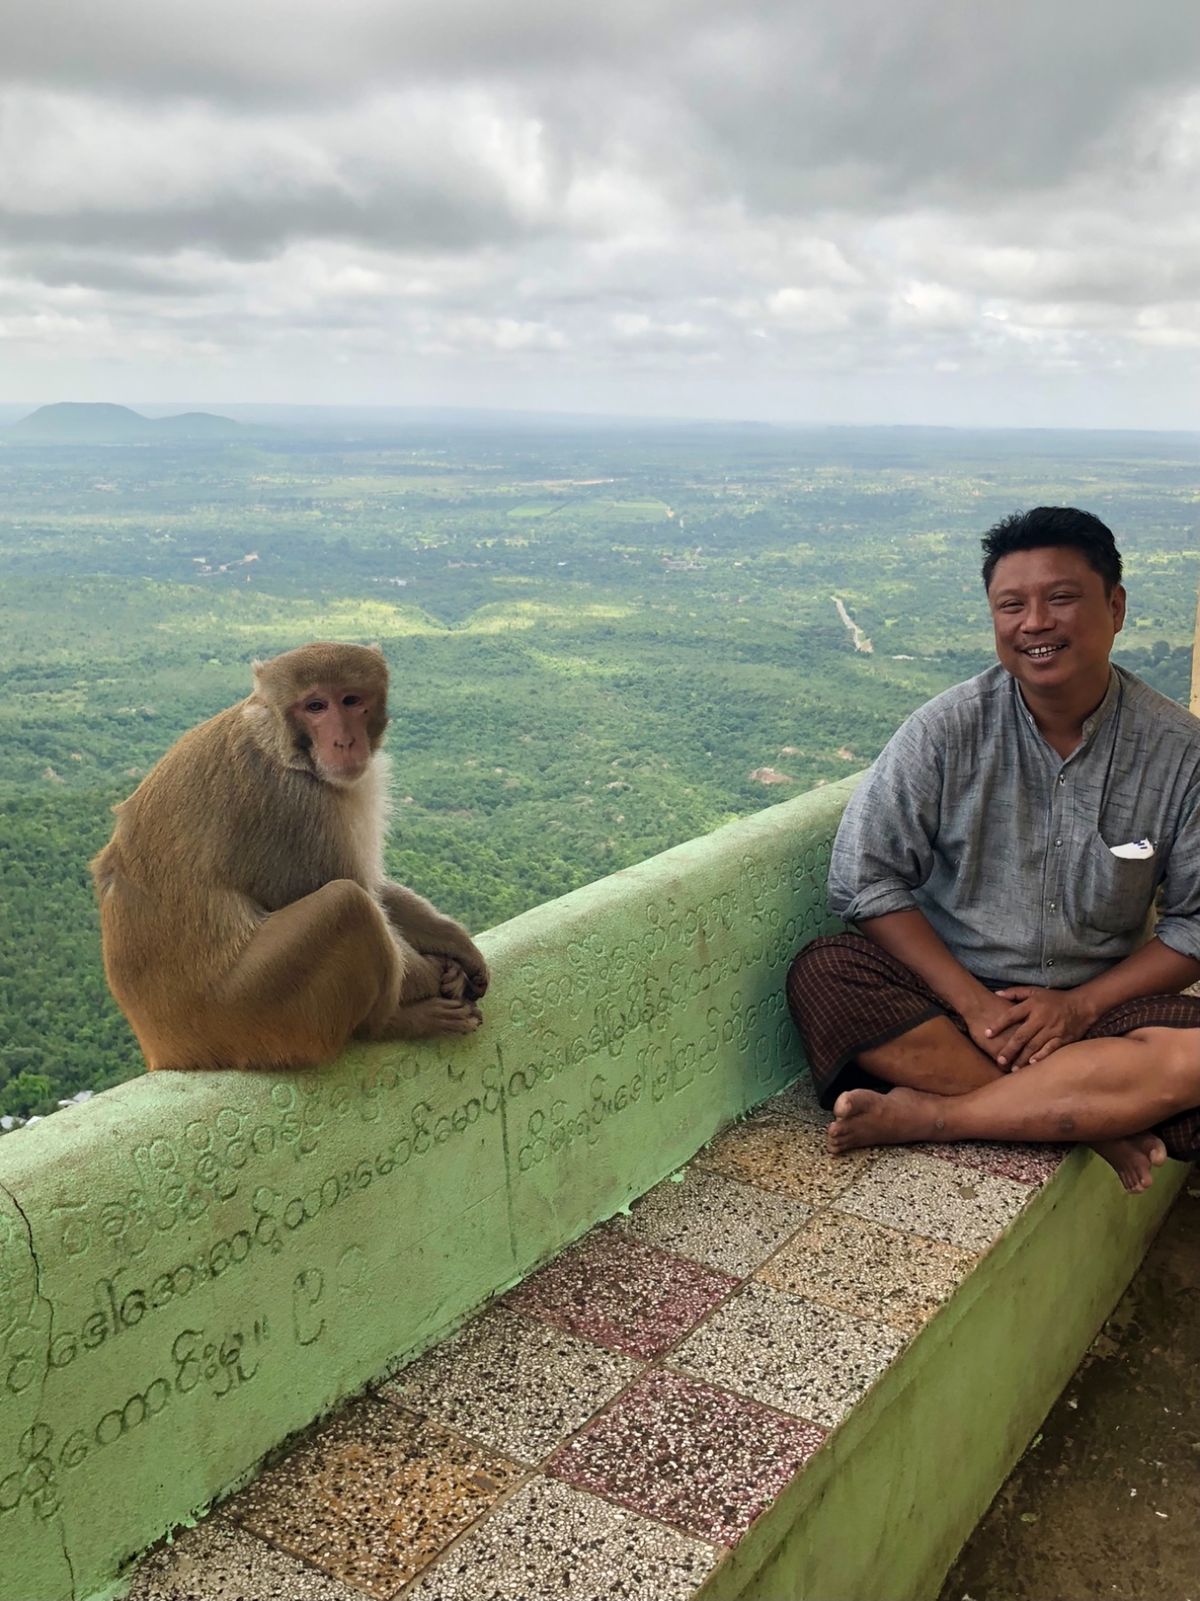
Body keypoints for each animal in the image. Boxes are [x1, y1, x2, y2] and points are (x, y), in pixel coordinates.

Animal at [90, 641, 489, 1072]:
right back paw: (392, 1024)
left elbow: (377, 890)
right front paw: (440, 974)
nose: (344, 742)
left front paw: (457, 946)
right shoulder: (296, 807)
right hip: (249, 1011)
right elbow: (356, 891)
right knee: (348, 904)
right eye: (315, 706)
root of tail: (161, 1046)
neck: (281, 748)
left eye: (351, 700)